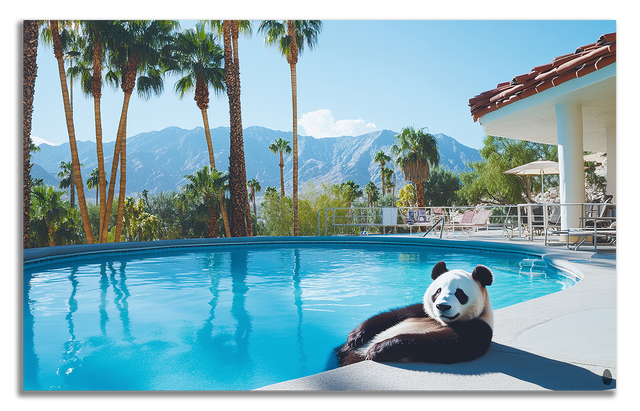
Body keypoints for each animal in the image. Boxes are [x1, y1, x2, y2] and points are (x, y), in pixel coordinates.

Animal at [336, 261, 494, 366]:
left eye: (460, 293)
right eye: (438, 291)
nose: (442, 306)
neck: (441, 321)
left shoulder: (479, 328)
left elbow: (444, 343)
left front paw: (378, 349)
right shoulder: (421, 311)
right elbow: (394, 315)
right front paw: (356, 335)